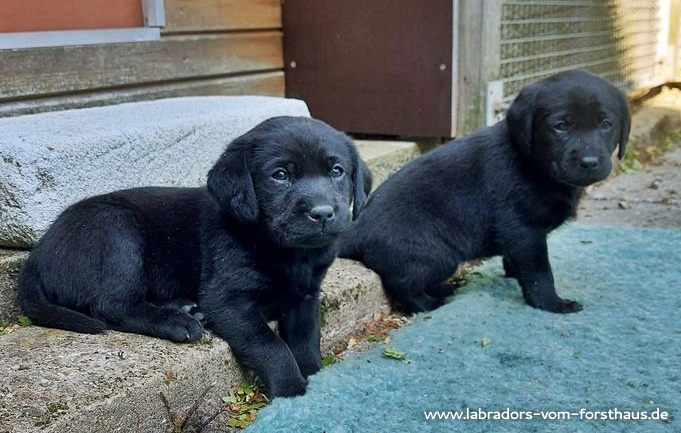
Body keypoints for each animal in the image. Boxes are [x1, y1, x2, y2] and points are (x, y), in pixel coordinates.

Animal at [18, 116, 371, 397]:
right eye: (280, 175)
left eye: (337, 171)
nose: (322, 213)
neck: (287, 252)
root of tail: (36, 255)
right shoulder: (227, 301)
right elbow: (271, 345)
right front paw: (292, 391)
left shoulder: (305, 296)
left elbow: (306, 339)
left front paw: (317, 377)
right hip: (116, 231)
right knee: (111, 304)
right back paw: (177, 321)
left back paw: (184, 308)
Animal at [340, 70, 630, 314]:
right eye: (560, 126)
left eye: (606, 124)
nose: (589, 162)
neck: (533, 163)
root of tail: (358, 228)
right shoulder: (525, 232)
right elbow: (540, 274)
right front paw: (553, 304)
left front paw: (513, 274)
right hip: (436, 254)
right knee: (402, 282)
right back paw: (430, 303)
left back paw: (443, 288)